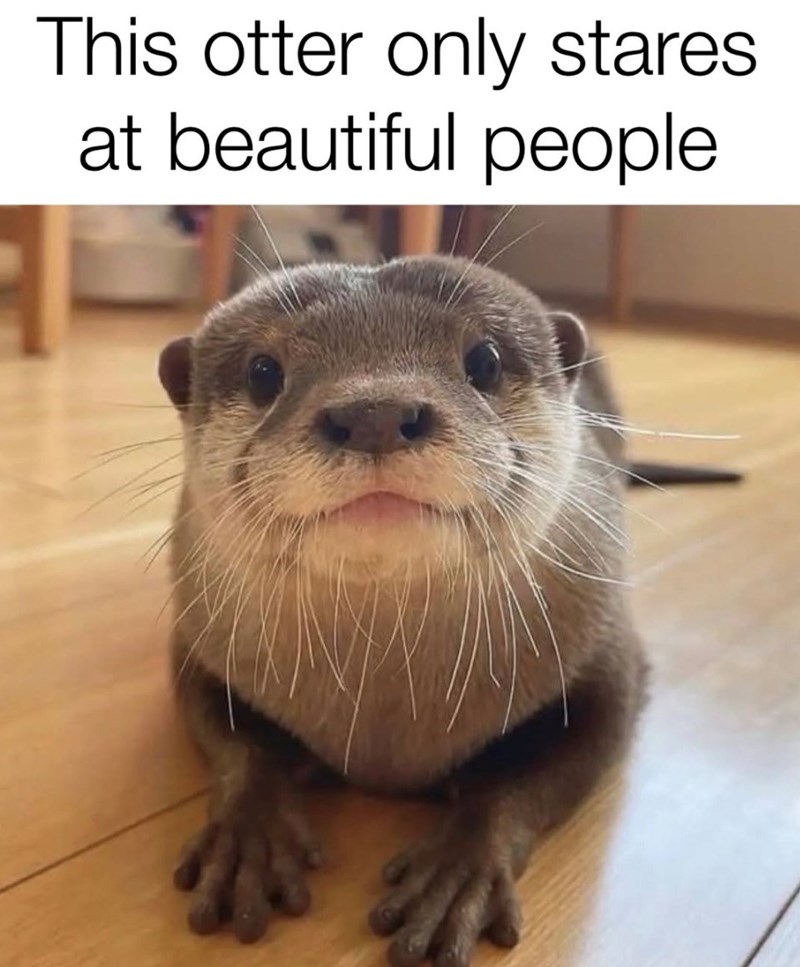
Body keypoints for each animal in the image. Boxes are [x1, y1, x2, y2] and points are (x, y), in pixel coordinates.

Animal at [157, 256, 729, 966]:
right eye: (263, 372)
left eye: (483, 360)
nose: (375, 412)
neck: (388, 717)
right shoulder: (200, 638)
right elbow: (229, 739)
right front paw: (249, 833)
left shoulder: (608, 657)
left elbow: (556, 762)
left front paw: (463, 863)